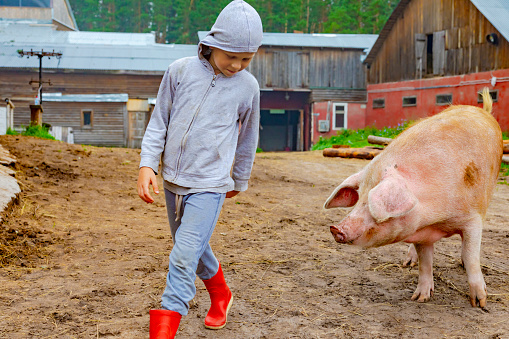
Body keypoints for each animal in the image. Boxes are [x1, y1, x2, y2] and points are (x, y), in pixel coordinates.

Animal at [324, 89, 502, 310]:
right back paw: (407, 262)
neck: (437, 218)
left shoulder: (473, 218)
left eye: (372, 203)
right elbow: (425, 263)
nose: (335, 228)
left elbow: (470, 256)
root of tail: (483, 110)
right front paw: (419, 298)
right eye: (359, 198)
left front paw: (479, 303)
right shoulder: (421, 232)